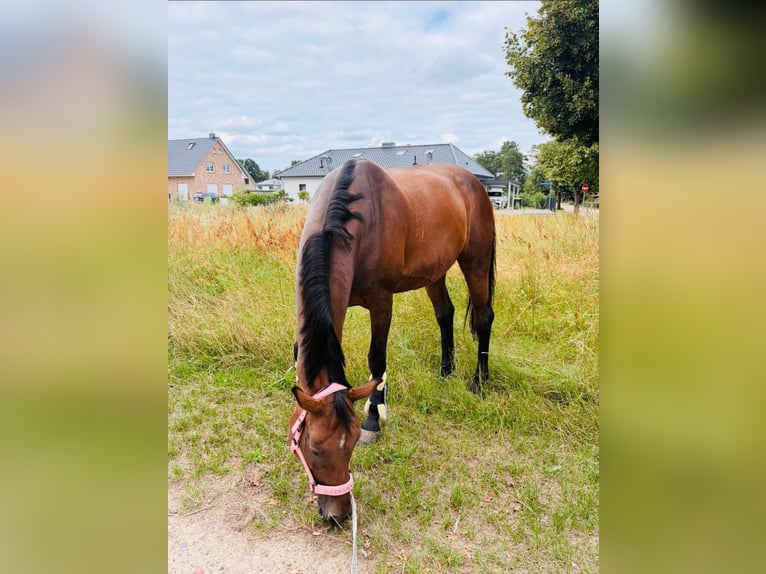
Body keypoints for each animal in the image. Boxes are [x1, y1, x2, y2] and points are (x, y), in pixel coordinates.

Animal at [289, 158, 496, 523]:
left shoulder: (381, 301)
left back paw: (478, 382)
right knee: (445, 314)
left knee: (483, 318)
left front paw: (374, 418)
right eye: (314, 448)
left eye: (353, 442)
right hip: (434, 272)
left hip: (476, 260)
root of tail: (474, 183)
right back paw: (445, 372)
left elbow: (377, 358)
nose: (339, 515)